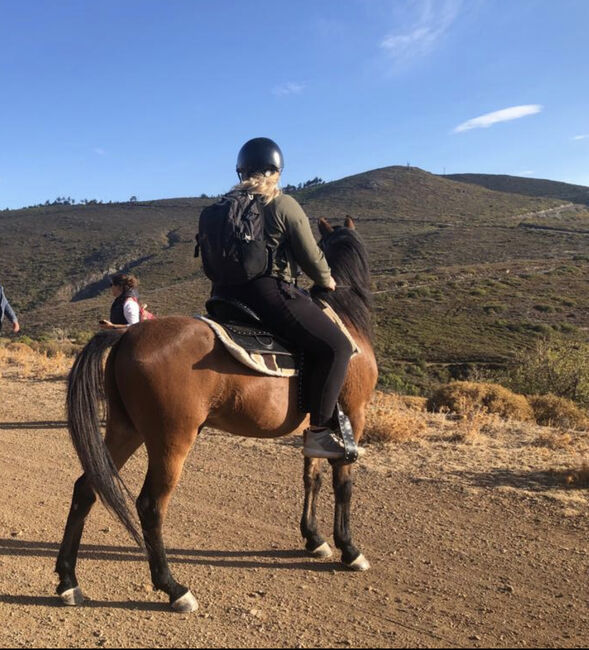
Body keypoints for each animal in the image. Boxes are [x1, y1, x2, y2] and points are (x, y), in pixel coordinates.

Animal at [55, 215, 376, 612]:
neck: (345, 321)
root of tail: (128, 335)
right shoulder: (353, 416)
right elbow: (343, 483)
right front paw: (349, 548)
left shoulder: (315, 429)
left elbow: (311, 478)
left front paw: (314, 539)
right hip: (170, 440)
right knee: (150, 505)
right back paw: (173, 588)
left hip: (125, 428)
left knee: (87, 487)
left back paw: (68, 580)